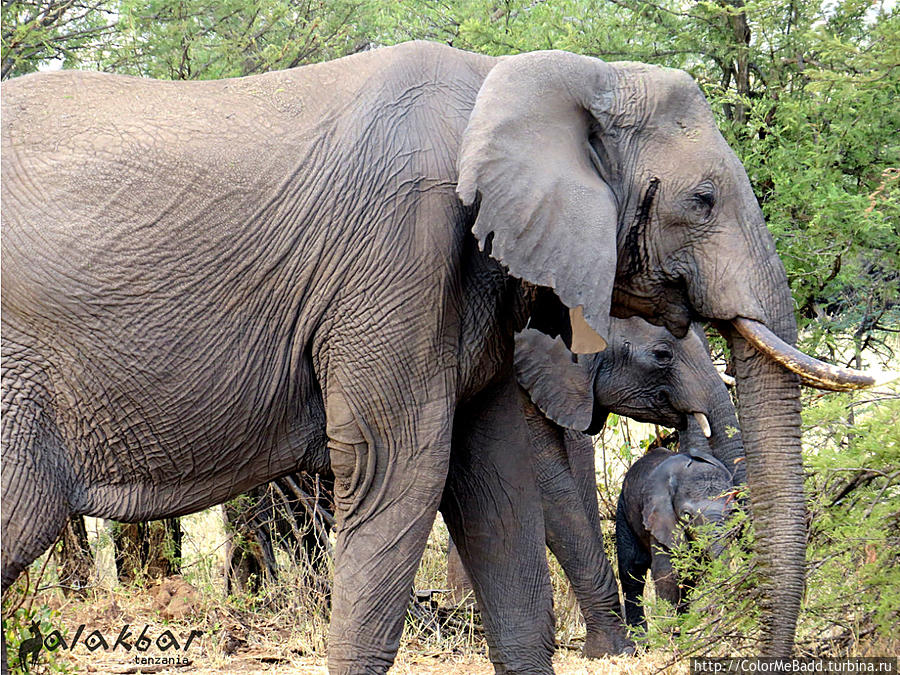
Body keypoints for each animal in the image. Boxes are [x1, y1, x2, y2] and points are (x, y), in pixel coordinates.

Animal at [616, 448, 736, 628]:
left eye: (730, 512)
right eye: (686, 515)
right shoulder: (659, 515)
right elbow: (666, 573)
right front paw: (666, 630)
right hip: (623, 511)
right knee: (631, 574)